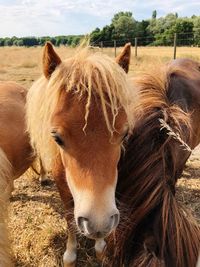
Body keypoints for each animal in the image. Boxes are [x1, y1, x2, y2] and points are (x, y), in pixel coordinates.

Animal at [25, 42, 134, 267]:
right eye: (56, 137)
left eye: (125, 134)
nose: (99, 223)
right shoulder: (63, 190)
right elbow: (69, 218)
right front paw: (70, 253)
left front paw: (100, 248)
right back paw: (42, 177)